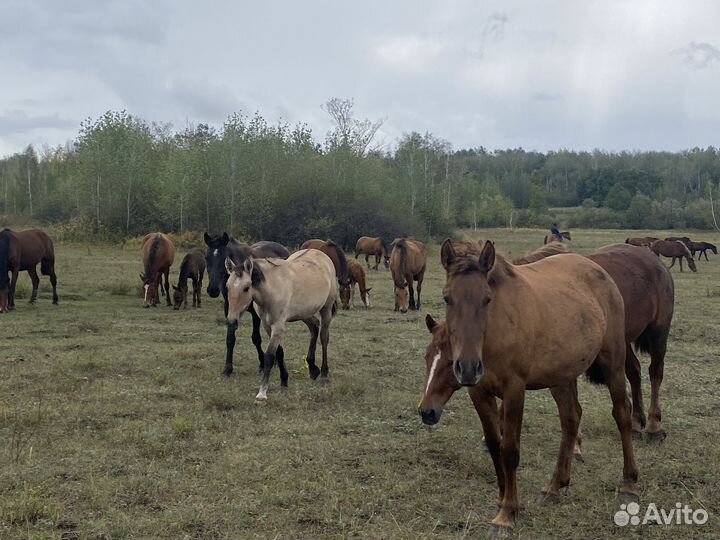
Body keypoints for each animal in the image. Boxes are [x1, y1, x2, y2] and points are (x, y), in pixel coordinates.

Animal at [204, 232, 290, 376]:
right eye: (206, 257)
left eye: (223, 257)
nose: (213, 290)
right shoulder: (230, 310)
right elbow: (230, 338)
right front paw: (228, 369)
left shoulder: (256, 313)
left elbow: (256, 338)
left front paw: (262, 363)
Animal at [224, 248, 337, 403]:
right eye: (227, 287)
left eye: (246, 288)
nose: (231, 321)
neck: (272, 289)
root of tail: (321, 254)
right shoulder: (267, 325)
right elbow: (280, 352)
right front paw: (284, 381)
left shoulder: (277, 325)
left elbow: (269, 356)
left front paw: (262, 393)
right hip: (304, 313)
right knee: (314, 327)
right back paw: (313, 369)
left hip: (326, 309)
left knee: (324, 337)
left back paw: (324, 374)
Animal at [418, 239, 638, 533]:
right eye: (447, 298)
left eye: (487, 298)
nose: (467, 367)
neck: (494, 336)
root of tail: (598, 269)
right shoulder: (479, 392)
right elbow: (495, 445)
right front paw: (502, 499)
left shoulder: (514, 390)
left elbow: (510, 450)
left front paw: (507, 513)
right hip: (561, 377)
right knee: (571, 419)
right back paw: (555, 486)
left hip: (613, 363)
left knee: (622, 413)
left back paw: (629, 484)